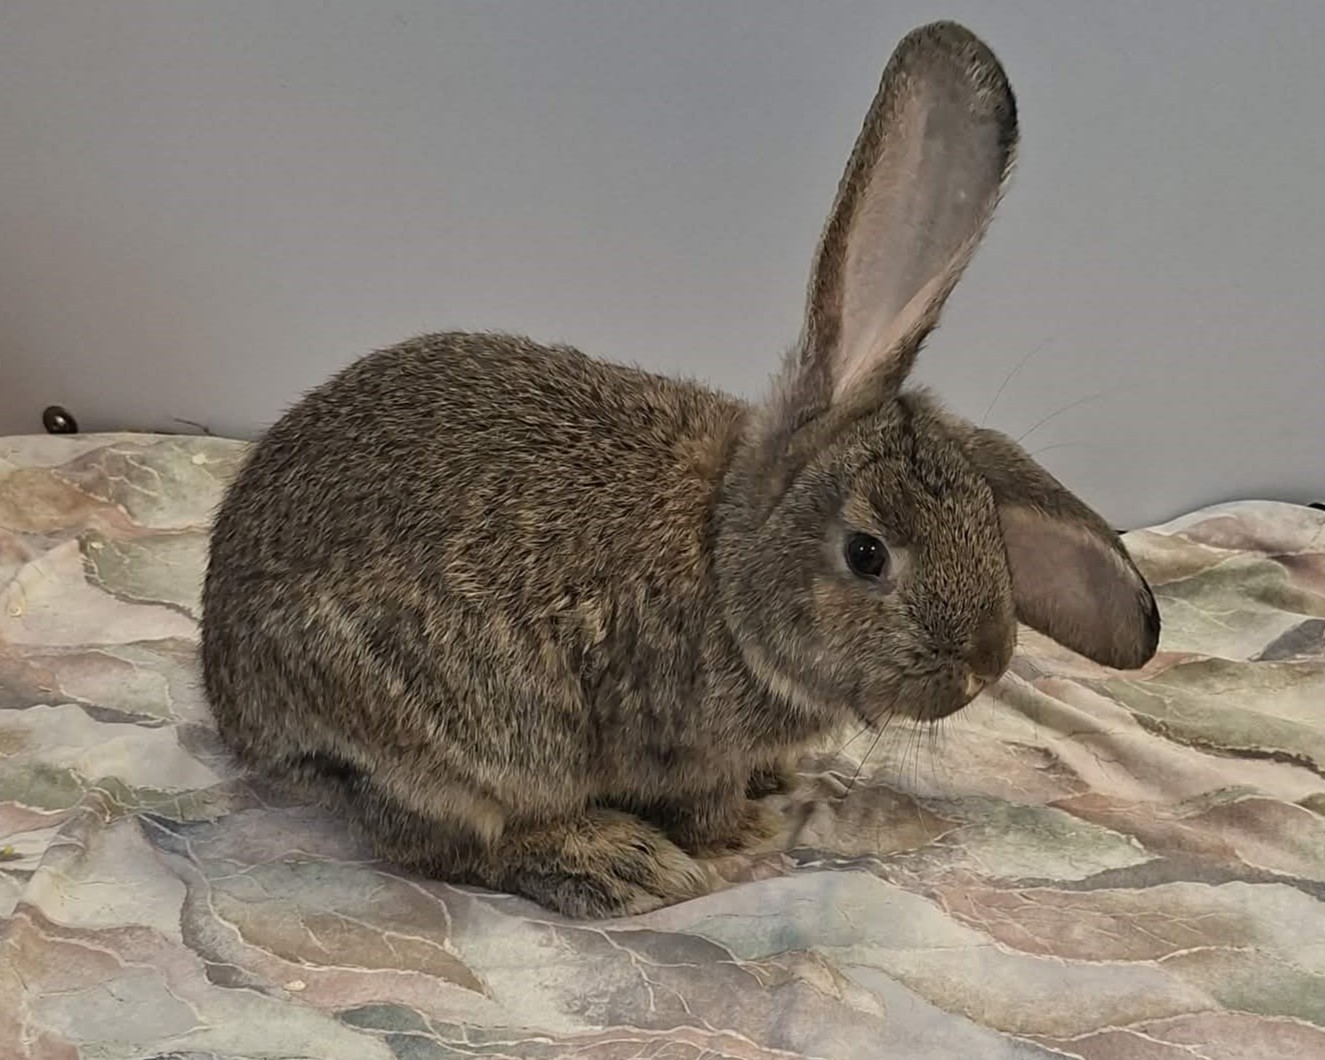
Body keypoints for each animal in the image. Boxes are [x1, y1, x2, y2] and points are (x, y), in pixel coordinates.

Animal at [200, 20, 1160, 919]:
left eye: (985, 524)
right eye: (866, 555)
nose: (985, 666)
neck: (726, 562)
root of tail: (235, 704)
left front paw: (785, 782)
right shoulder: (682, 747)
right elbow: (704, 806)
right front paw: (753, 835)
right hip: (448, 748)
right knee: (438, 845)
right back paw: (614, 863)